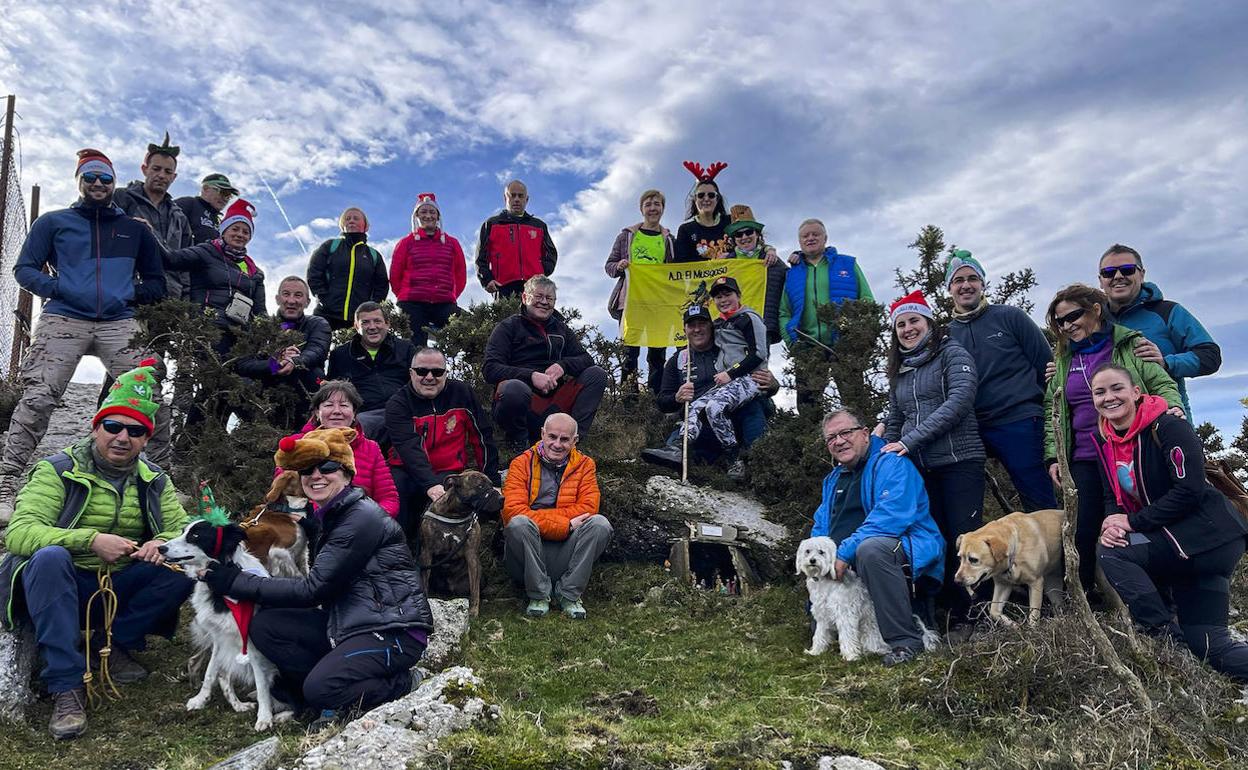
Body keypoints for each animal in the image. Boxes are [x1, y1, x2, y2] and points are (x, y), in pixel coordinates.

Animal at [156, 519, 289, 728]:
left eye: (195, 535)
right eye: (183, 531)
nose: (161, 548)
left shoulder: (251, 646)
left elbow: (261, 684)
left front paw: (264, 717)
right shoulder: (219, 639)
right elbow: (211, 673)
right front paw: (201, 700)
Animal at [416, 464, 499, 616]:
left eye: (491, 484)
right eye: (480, 486)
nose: (501, 498)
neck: (456, 514)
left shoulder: (472, 555)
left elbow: (474, 589)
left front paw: (473, 610)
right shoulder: (426, 553)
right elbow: (424, 582)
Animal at [798, 534, 938, 658]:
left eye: (821, 552)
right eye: (807, 551)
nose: (812, 560)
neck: (824, 582)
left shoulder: (844, 615)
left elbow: (847, 636)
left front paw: (850, 656)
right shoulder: (822, 615)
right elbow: (819, 635)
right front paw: (815, 651)